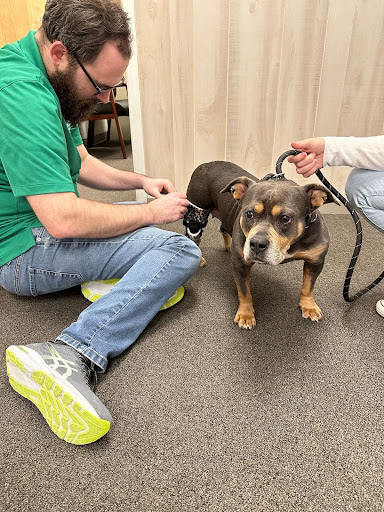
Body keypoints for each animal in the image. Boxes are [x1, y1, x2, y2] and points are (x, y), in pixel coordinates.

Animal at [183, 161, 336, 328]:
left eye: (285, 218)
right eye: (249, 213)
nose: (256, 243)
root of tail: (206, 164)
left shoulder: (315, 262)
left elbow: (308, 286)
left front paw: (309, 306)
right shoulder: (241, 265)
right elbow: (244, 292)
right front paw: (246, 314)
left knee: (223, 227)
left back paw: (229, 246)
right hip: (197, 214)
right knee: (193, 233)